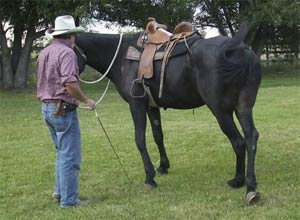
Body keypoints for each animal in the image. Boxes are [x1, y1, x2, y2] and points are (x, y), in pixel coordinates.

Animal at [75, 25, 262, 205]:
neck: (122, 55)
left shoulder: (136, 105)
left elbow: (140, 140)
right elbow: (158, 135)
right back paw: (250, 184)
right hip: (243, 106)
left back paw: (241, 182)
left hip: (220, 110)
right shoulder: (151, 107)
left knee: (238, 142)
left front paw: (149, 178)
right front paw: (163, 166)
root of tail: (236, 49)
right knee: (251, 136)